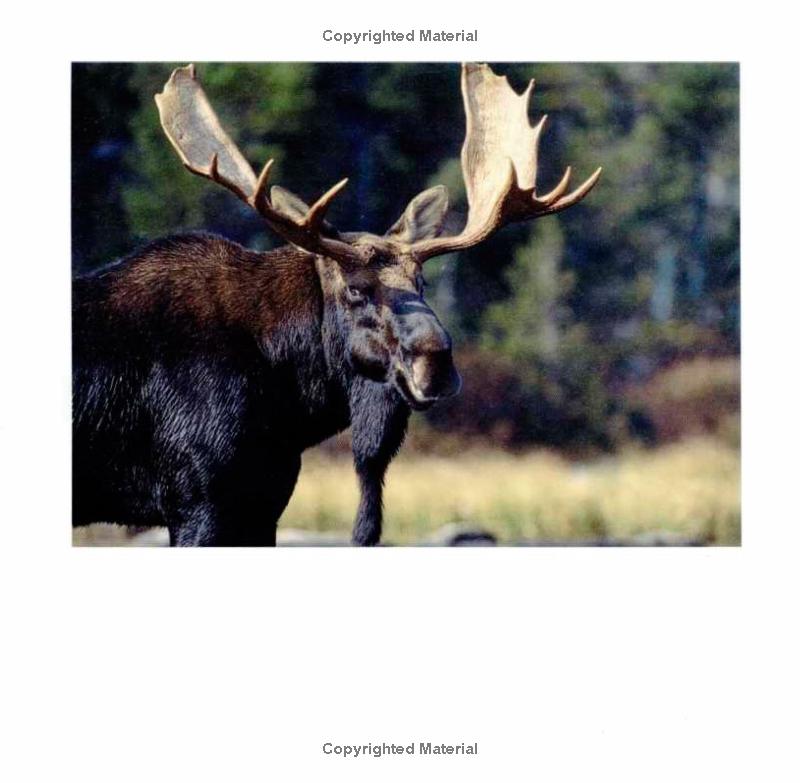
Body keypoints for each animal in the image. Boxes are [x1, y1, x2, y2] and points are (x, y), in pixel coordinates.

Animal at [72, 62, 601, 546]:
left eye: (423, 281)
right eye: (355, 289)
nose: (437, 363)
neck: (288, 397)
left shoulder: (263, 503)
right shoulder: (199, 498)